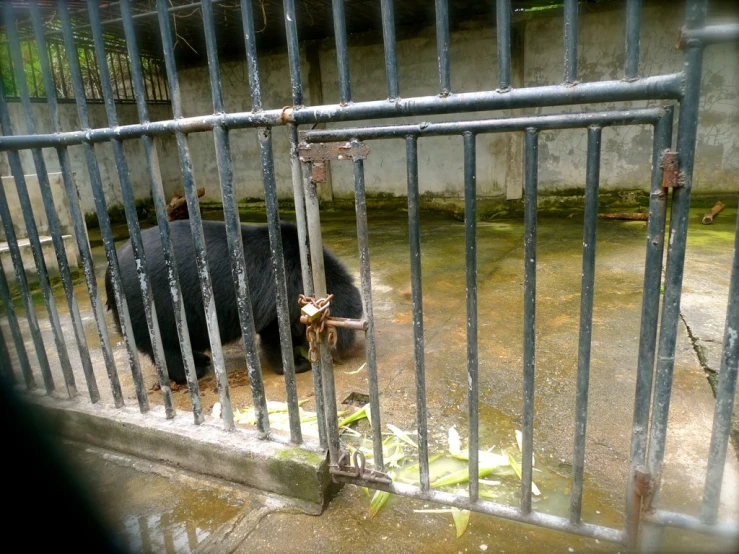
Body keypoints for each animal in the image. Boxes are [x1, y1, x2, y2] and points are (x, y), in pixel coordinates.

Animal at [107, 218, 364, 382]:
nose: (347, 350)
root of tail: (109, 273)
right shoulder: (280, 297)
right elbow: (277, 335)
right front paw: (296, 365)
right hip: (154, 306)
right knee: (167, 347)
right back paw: (193, 372)